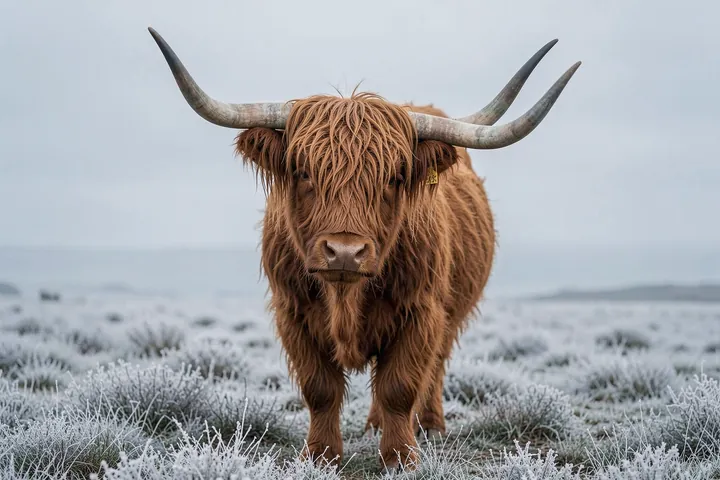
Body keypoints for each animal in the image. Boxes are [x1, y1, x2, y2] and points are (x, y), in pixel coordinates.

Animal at [148, 27, 580, 473]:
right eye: (303, 171)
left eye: (393, 177)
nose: (344, 251)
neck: (345, 296)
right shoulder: (291, 311)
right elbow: (320, 388)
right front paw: (320, 455)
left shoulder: (422, 312)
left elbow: (400, 386)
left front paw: (401, 457)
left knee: (434, 368)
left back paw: (428, 425)